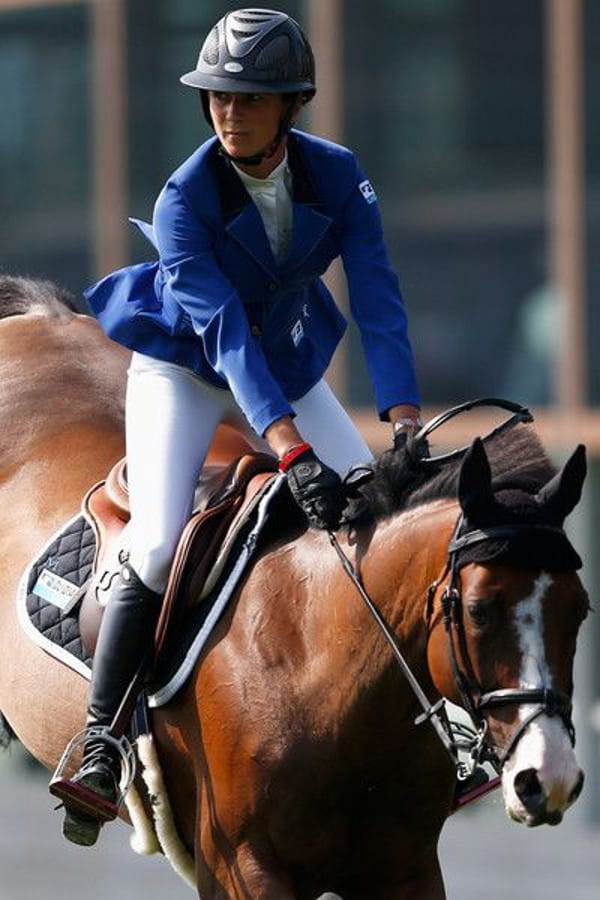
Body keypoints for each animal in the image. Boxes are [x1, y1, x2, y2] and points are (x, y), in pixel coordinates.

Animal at [0, 276, 592, 900]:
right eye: (478, 609)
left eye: (579, 611)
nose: (549, 778)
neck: (323, 663)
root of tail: (36, 315)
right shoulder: (242, 867)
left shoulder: (407, 867)